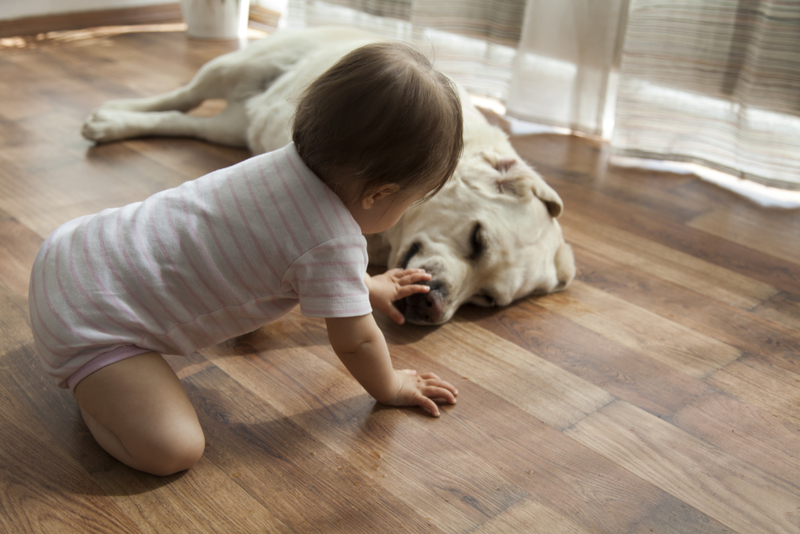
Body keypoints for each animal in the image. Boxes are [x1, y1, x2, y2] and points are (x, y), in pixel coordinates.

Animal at [81, 27, 572, 326]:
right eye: (477, 239)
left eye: (488, 299)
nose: (432, 306)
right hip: (237, 67)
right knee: (182, 96)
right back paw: (111, 117)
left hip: (231, 125)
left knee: (186, 120)